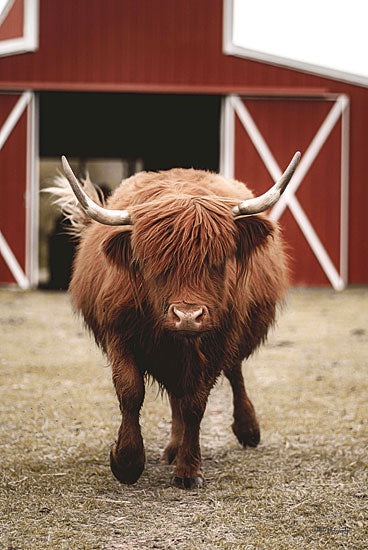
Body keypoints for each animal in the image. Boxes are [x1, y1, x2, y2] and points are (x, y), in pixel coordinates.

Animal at [48, 152, 300, 492]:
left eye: (217, 261)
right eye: (152, 262)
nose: (187, 317)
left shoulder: (216, 342)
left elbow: (195, 403)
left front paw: (188, 469)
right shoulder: (119, 333)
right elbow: (131, 391)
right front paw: (126, 462)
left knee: (232, 373)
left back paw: (246, 430)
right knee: (174, 394)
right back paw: (171, 448)